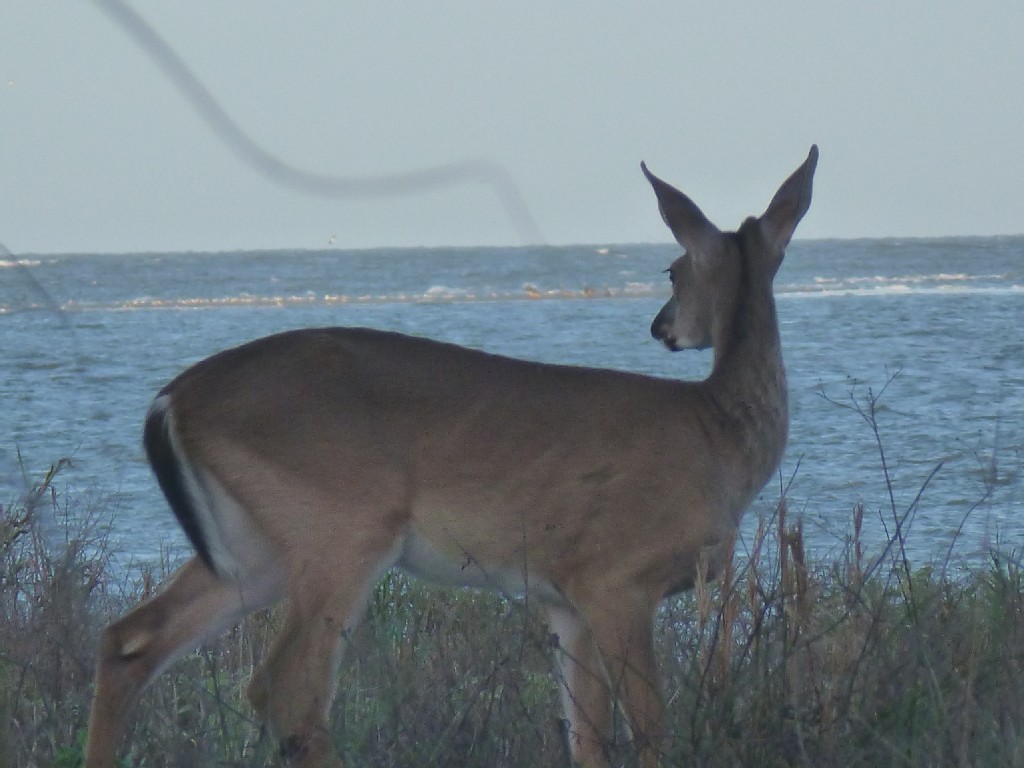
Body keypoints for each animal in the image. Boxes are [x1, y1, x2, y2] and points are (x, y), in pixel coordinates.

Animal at [84, 145, 817, 768]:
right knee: (286, 689)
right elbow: (650, 731)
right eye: (671, 266)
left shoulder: (564, 598)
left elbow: (586, 737)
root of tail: (172, 399)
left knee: (129, 641)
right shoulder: (617, 577)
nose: (662, 327)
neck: (718, 436)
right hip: (342, 526)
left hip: (253, 547)